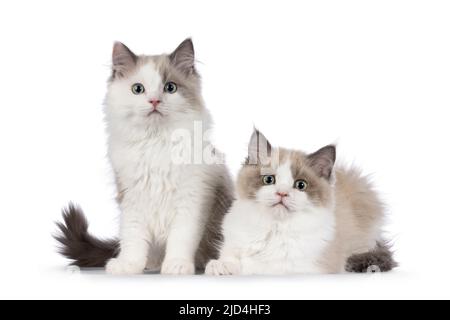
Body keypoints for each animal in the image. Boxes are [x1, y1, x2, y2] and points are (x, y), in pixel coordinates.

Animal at [54, 38, 234, 274]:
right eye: (138, 89)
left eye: (170, 87)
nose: (154, 101)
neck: (155, 143)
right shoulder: (132, 197)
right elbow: (133, 238)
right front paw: (128, 265)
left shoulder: (191, 200)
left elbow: (181, 238)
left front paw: (177, 265)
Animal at [206, 130, 396, 276]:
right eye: (269, 179)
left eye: (300, 185)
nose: (282, 193)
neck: (274, 228)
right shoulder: (232, 244)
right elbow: (231, 257)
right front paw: (221, 266)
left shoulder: (305, 266)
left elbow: (258, 266)